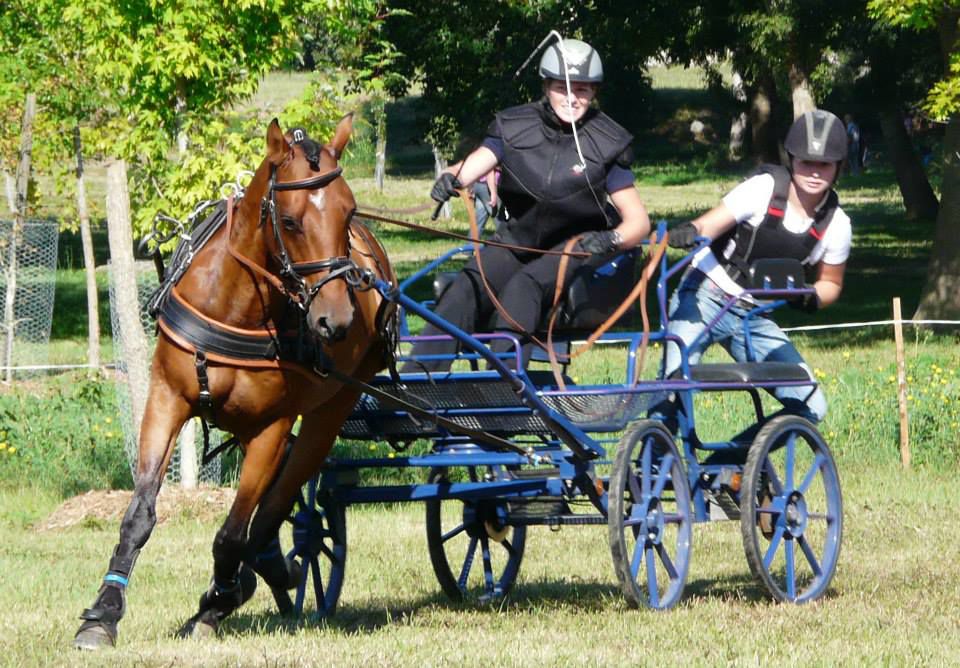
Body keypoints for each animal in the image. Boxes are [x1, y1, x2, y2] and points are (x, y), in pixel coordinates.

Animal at [74, 115, 395, 649]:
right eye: (291, 221)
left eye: (348, 212)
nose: (337, 320)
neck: (235, 303)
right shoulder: (166, 398)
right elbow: (140, 513)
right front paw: (103, 613)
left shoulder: (272, 426)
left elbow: (233, 531)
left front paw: (218, 598)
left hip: (334, 405)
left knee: (278, 498)